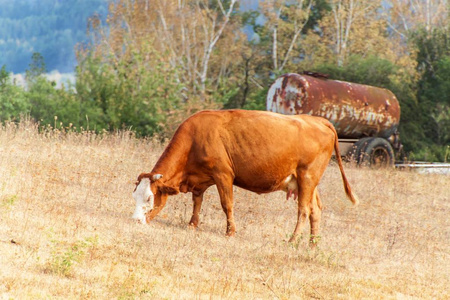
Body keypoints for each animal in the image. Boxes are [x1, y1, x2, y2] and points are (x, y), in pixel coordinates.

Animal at [131, 110, 358, 244]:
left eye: (150, 198)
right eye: (134, 196)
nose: (135, 221)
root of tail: (319, 120)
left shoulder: (223, 174)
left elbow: (227, 204)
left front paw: (230, 232)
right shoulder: (200, 180)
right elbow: (197, 202)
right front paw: (192, 225)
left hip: (307, 177)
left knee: (303, 210)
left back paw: (293, 240)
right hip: (307, 182)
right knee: (315, 210)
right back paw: (313, 243)